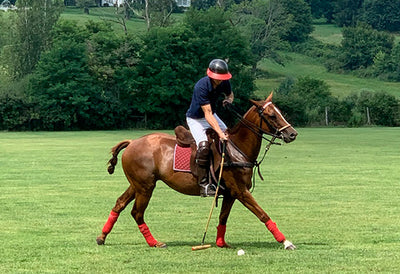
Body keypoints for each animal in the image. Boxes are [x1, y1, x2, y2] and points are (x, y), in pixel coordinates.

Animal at [96, 92, 296, 250]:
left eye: (281, 112)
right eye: (272, 115)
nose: (293, 134)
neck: (237, 148)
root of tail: (131, 142)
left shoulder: (230, 193)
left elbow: (223, 218)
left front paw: (221, 243)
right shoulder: (240, 190)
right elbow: (262, 214)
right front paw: (286, 242)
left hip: (137, 184)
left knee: (120, 204)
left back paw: (102, 237)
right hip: (145, 187)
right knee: (137, 213)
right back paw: (154, 242)